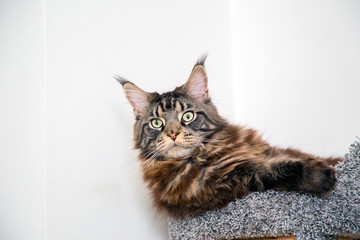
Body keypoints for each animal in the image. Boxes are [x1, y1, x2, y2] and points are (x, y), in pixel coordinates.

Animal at [118, 56, 344, 218]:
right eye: (157, 123)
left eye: (188, 116)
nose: (173, 133)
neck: (205, 154)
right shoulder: (235, 180)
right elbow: (279, 168)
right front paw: (321, 175)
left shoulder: (268, 151)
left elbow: (289, 156)